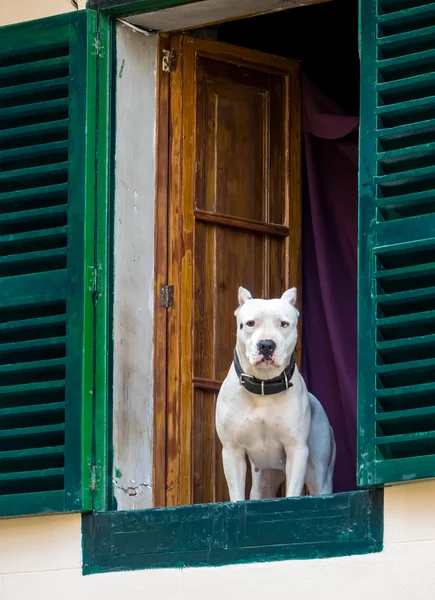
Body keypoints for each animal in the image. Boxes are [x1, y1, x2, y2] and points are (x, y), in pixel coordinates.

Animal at [216, 286, 336, 502]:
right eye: (250, 323)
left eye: (284, 324)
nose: (266, 344)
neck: (263, 388)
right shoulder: (232, 450)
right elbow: (237, 497)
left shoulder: (297, 449)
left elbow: (292, 494)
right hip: (264, 481)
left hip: (319, 476)